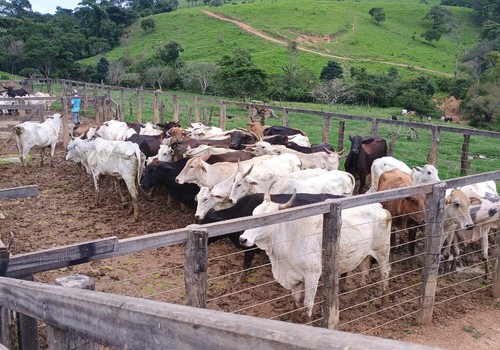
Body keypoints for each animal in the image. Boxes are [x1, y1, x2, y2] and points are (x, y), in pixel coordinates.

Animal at [240, 194, 392, 322]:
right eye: (252, 214)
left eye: (265, 220)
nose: (243, 239)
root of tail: (379, 207)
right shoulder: (294, 276)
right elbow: (295, 301)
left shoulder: (312, 275)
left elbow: (307, 304)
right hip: (365, 254)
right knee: (365, 272)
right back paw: (359, 300)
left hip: (382, 252)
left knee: (384, 274)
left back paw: (384, 305)